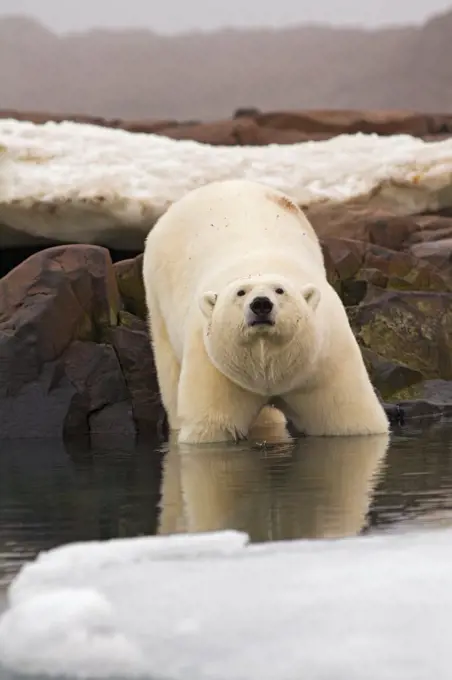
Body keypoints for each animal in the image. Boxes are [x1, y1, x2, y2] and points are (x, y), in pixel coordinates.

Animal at [143, 178, 390, 444]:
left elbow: (348, 417)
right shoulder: (217, 366)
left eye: (280, 290)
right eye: (240, 292)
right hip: (157, 295)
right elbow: (212, 426)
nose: (261, 304)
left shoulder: (326, 360)